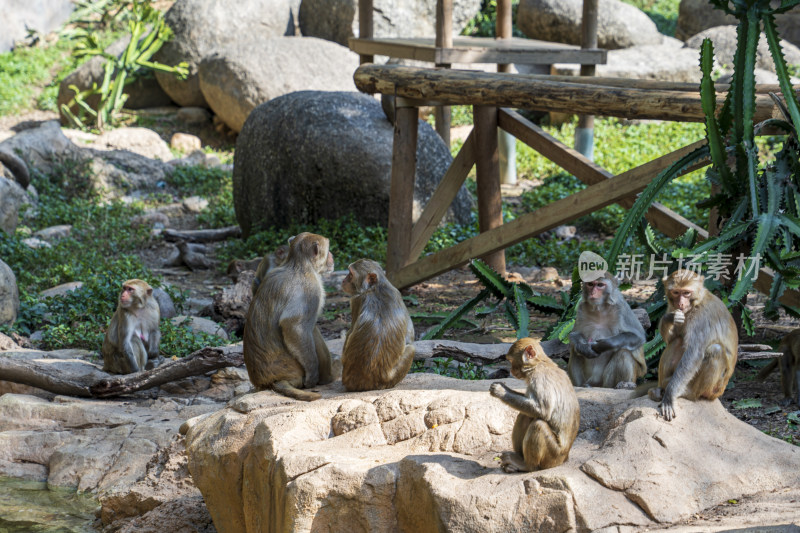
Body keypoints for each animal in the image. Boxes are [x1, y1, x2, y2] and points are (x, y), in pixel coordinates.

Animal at [242, 231, 332, 402]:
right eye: (328, 249)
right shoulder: (310, 288)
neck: (299, 264)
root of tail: (270, 381)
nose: (332, 256)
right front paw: (312, 375)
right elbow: (293, 325)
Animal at [340, 258, 416, 390]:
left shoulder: (356, 300)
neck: (375, 288)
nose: (343, 280)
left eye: (350, 274)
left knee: (411, 348)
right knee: (411, 348)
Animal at [490, 338, 580, 472]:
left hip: (553, 455)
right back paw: (518, 458)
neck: (539, 363)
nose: (510, 370)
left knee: (538, 425)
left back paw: (526, 465)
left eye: (511, 361)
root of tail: (564, 458)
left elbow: (542, 411)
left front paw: (500, 391)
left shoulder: (539, 378)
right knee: (525, 415)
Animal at [648, 270, 740, 420]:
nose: (681, 303)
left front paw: (670, 396)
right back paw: (661, 387)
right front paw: (669, 318)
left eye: (686, 293)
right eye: (676, 292)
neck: (695, 303)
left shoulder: (701, 318)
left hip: (714, 389)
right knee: (677, 340)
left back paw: (687, 393)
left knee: (715, 350)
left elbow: (694, 354)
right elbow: (670, 339)